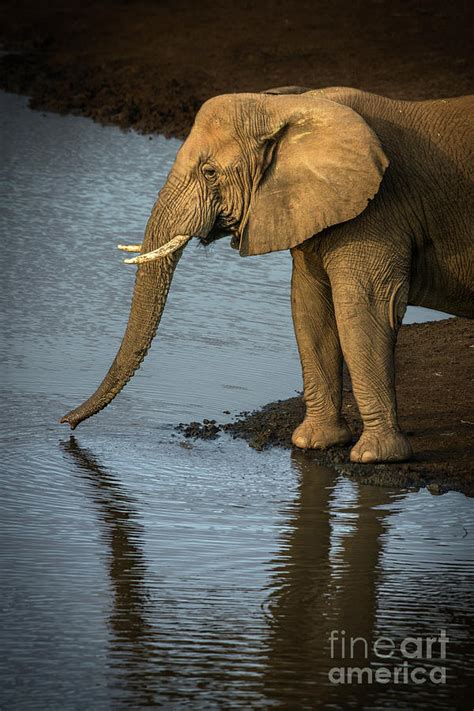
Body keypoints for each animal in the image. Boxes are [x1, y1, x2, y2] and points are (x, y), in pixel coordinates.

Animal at [61, 86, 472, 464]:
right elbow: (309, 308)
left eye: (209, 172)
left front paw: (375, 457)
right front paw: (312, 443)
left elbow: (365, 309)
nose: (67, 425)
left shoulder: (380, 211)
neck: (289, 105)